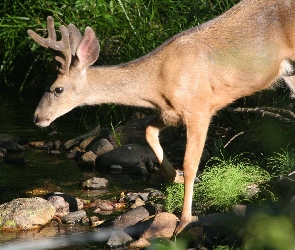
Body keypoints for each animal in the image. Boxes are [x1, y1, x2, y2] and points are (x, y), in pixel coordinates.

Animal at [27, 0, 295, 233]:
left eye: (57, 89)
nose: (37, 117)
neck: (156, 82)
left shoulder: (199, 108)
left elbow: (190, 164)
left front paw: (184, 220)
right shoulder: (170, 113)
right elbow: (148, 131)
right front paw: (173, 176)